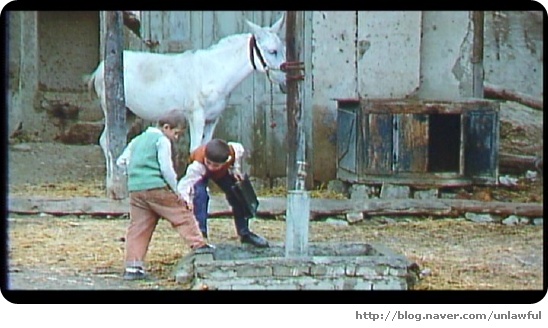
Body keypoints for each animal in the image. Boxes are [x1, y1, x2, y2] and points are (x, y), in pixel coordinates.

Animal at [86, 14, 286, 196]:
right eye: (272, 51)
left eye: (282, 49)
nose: (285, 83)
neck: (213, 72)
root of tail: (100, 68)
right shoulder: (196, 117)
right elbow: (195, 150)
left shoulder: (212, 120)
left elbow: (206, 150)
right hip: (113, 111)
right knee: (108, 141)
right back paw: (115, 186)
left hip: (128, 114)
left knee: (104, 140)